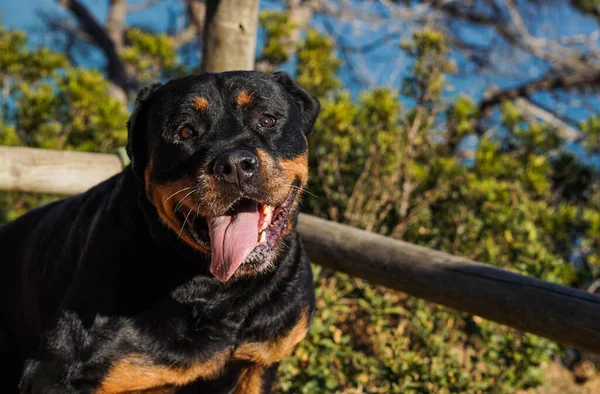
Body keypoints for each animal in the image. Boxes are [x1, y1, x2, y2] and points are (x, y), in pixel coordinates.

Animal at [1, 71, 318, 394]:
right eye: (186, 132)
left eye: (267, 119)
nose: (235, 165)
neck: (221, 294)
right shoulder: (54, 374)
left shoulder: (261, 361)